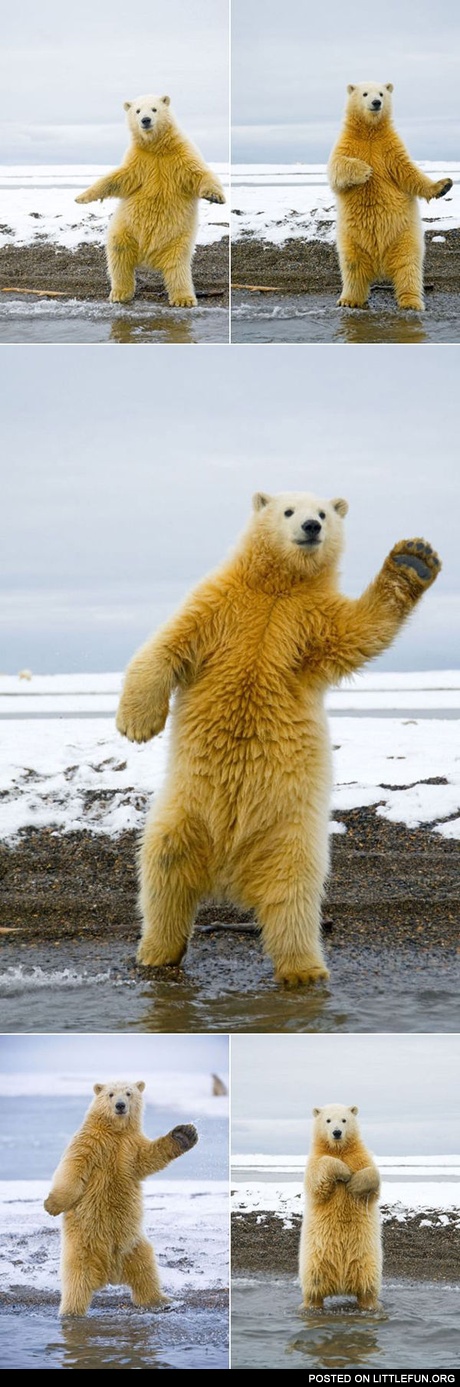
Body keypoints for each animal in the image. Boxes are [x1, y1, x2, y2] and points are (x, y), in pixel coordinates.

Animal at [44, 1080, 198, 1316]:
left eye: (128, 1093)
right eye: (110, 1094)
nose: (120, 1106)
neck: (115, 1132)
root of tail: (110, 1274)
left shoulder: (131, 1147)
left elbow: (149, 1157)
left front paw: (184, 1134)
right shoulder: (90, 1142)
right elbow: (73, 1169)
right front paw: (51, 1205)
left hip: (133, 1245)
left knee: (146, 1269)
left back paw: (160, 1300)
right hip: (83, 1244)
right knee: (76, 1278)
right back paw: (71, 1311)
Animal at [75, 94, 225, 307]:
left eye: (154, 109)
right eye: (137, 110)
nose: (145, 120)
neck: (157, 148)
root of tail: (148, 258)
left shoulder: (181, 156)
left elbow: (199, 173)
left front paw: (215, 196)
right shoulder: (139, 161)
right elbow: (116, 179)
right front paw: (81, 197)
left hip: (178, 239)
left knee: (177, 266)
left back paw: (184, 298)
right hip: (125, 229)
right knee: (119, 255)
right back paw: (120, 293)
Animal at [116, 490, 441, 988]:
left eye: (323, 512)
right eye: (288, 510)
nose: (311, 527)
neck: (277, 588)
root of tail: (227, 871)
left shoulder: (309, 619)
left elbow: (360, 630)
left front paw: (414, 559)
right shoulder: (220, 603)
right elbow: (166, 646)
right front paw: (136, 724)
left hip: (290, 833)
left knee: (293, 896)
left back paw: (303, 970)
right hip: (185, 811)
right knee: (163, 869)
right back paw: (156, 953)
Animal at [299, 1104, 382, 1311]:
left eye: (344, 1120)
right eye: (328, 1120)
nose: (337, 1132)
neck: (339, 1149)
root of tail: (341, 1285)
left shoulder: (360, 1156)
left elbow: (373, 1175)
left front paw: (353, 1184)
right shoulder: (315, 1160)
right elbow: (318, 1179)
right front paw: (343, 1172)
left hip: (367, 1260)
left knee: (368, 1287)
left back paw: (370, 1305)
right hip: (314, 1261)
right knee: (313, 1287)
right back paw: (310, 1305)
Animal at [328, 82, 453, 311]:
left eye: (382, 93)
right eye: (365, 93)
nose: (377, 103)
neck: (370, 132)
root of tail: (379, 265)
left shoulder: (390, 148)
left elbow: (409, 172)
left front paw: (444, 185)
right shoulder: (347, 144)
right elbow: (337, 167)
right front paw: (365, 170)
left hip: (403, 236)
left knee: (408, 266)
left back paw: (411, 302)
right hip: (351, 239)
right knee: (352, 266)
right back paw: (349, 299)